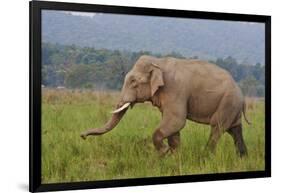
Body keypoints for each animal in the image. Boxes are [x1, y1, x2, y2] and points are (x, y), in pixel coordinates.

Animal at [80, 54, 248, 157]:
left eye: (133, 82)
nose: (82, 136)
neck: (158, 62)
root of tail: (242, 95)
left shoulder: (175, 90)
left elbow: (177, 120)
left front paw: (164, 152)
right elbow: (173, 127)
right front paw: (174, 157)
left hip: (228, 103)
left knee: (217, 128)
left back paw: (205, 156)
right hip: (232, 107)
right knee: (235, 130)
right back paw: (242, 158)